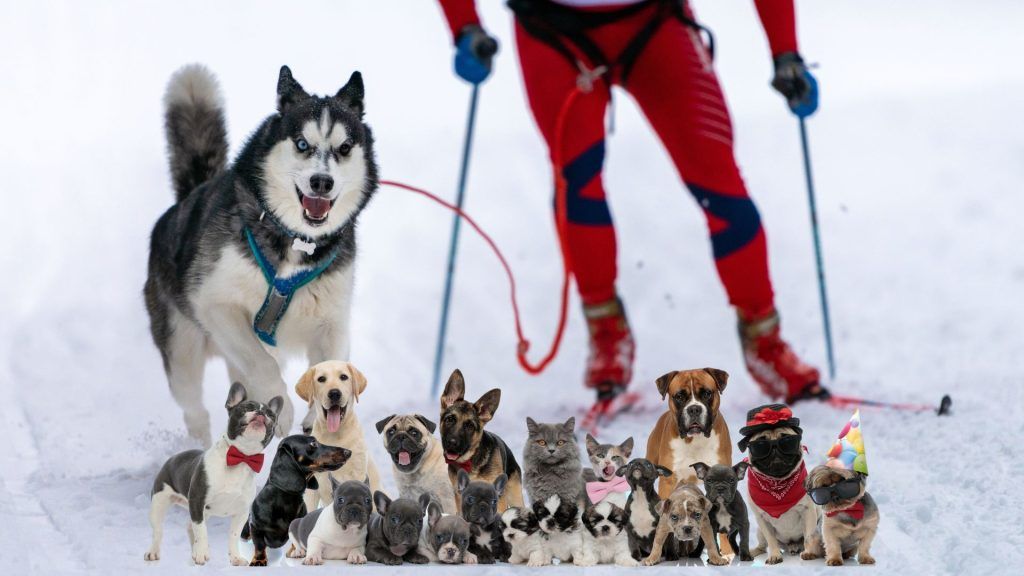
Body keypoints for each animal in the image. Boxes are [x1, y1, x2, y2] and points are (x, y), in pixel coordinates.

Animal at [144, 383, 280, 561]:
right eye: (246, 407)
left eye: (271, 415)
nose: (261, 413)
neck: (241, 456)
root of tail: (172, 458)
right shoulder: (197, 502)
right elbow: (202, 531)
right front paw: (202, 554)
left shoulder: (241, 513)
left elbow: (233, 536)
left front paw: (235, 557)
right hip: (159, 503)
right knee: (159, 530)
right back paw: (154, 552)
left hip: (202, 512)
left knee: (190, 527)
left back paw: (194, 552)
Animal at [245, 432, 350, 561]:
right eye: (313, 443)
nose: (348, 452)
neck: (285, 501)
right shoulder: (255, 527)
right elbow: (259, 545)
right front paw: (258, 561)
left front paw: (295, 552)